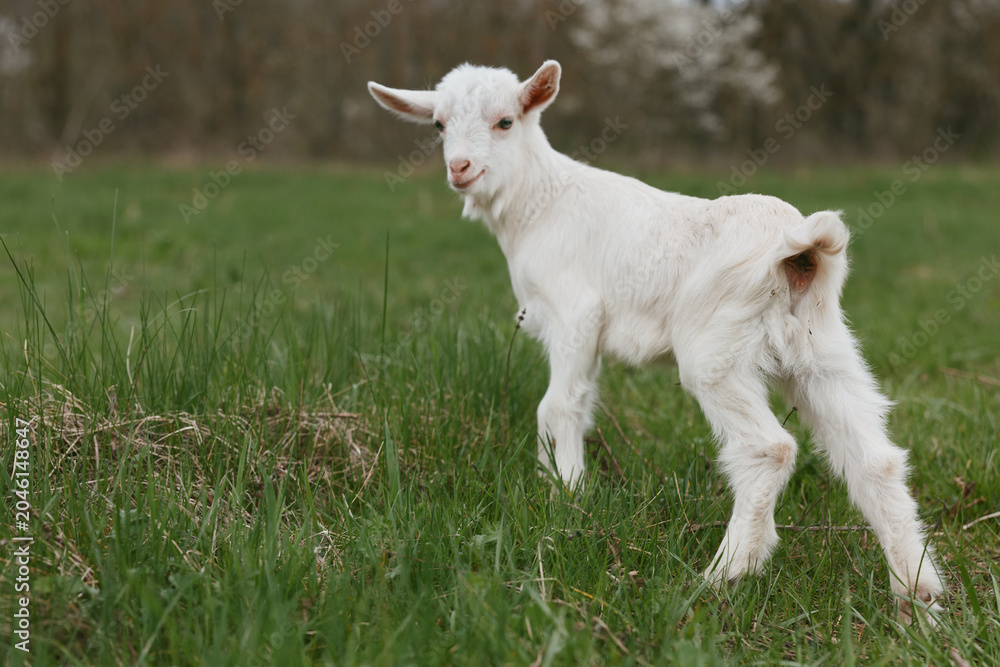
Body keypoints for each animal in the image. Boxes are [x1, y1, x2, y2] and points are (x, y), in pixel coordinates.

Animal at [369, 60, 944, 623]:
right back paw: (918, 595)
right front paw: (560, 487)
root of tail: (800, 252)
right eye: (438, 125)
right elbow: (568, 405)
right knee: (875, 459)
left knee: (769, 449)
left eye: (505, 121)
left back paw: (723, 576)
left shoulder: (575, 313)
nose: (460, 168)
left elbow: (557, 406)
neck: (541, 202)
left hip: (717, 352)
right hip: (823, 352)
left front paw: (565, 496)